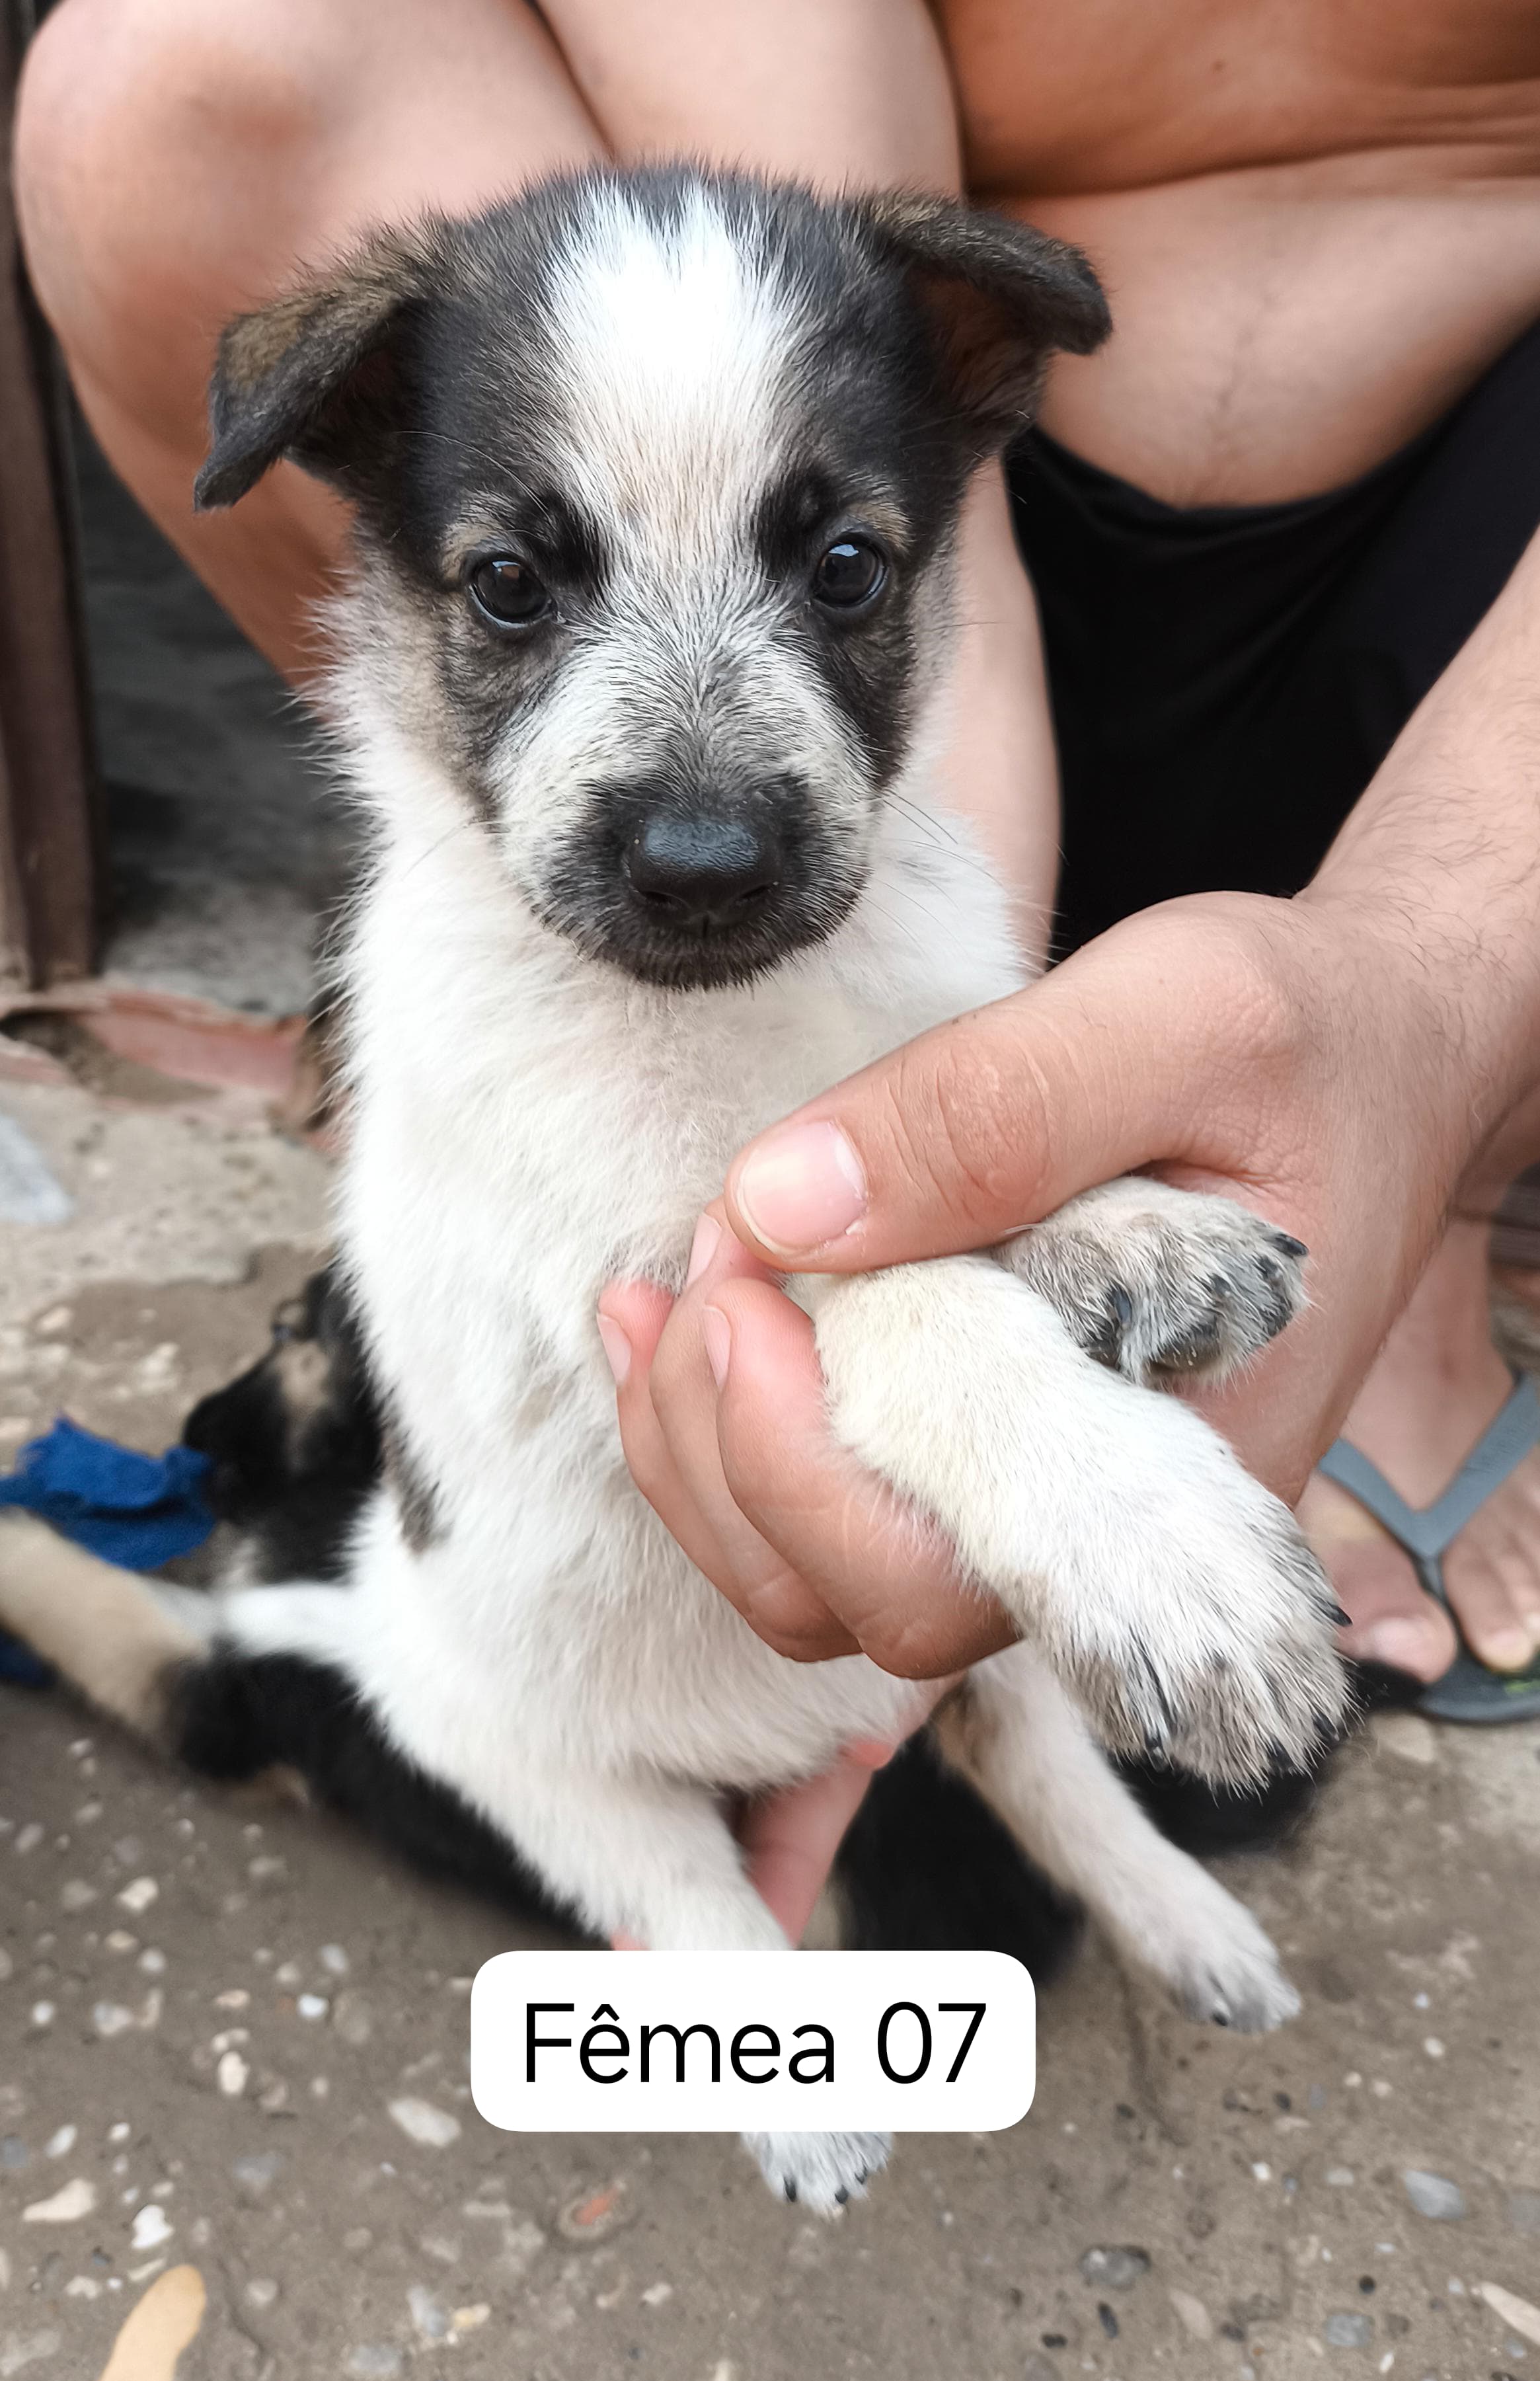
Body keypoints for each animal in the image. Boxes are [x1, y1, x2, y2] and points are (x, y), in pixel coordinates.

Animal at [0, 167, 1352, 2209]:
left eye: (849, 567)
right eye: (508, 585)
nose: (705, 866)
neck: (709, 1025)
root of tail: (296, 1609)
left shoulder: (880, 1093)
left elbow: (918, 1182)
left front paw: (1128, 1230)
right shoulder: (621, 1268)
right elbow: (887, 1290)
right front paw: (1142, 1526)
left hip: (941, 1684)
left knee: (1033, 1750)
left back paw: (1182, 1915)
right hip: (538, 1771)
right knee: (695, 1885)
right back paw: (801, 2090)